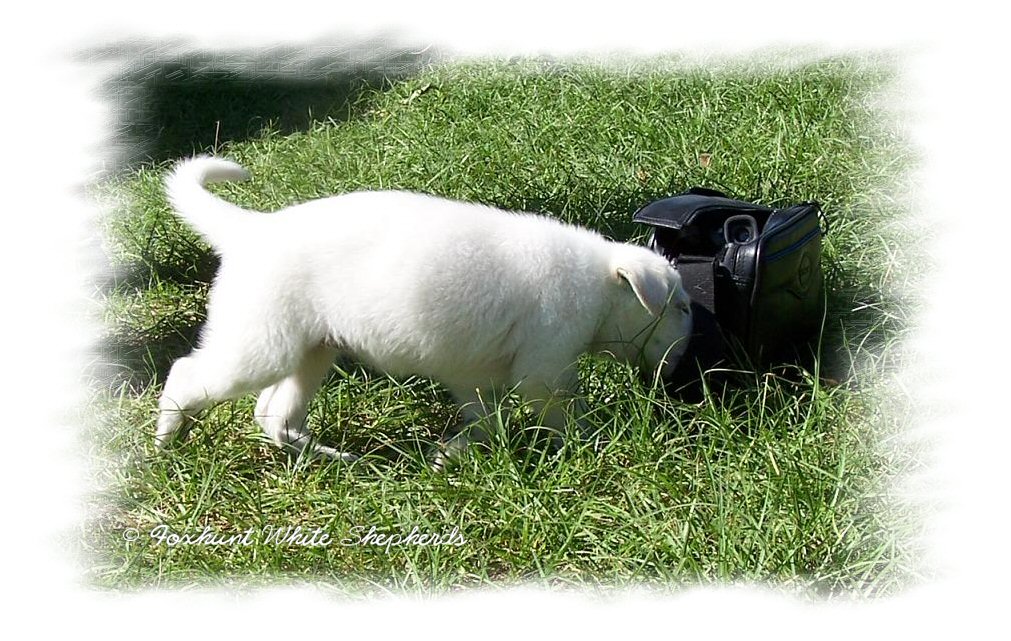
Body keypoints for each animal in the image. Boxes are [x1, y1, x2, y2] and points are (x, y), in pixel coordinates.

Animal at [155, 156, 693, 466]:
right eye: (684, 307)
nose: (688, 358)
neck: (597, 284)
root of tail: (251, 230)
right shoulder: (545, 368)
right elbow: (563, 413)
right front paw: (593, 445)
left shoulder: (477, 376)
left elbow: (483, 423)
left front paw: (448, 457)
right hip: (259, 348)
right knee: (186, 375)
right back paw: (165, 442)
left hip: (308, 352)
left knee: (273, 416)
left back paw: (339, 460)